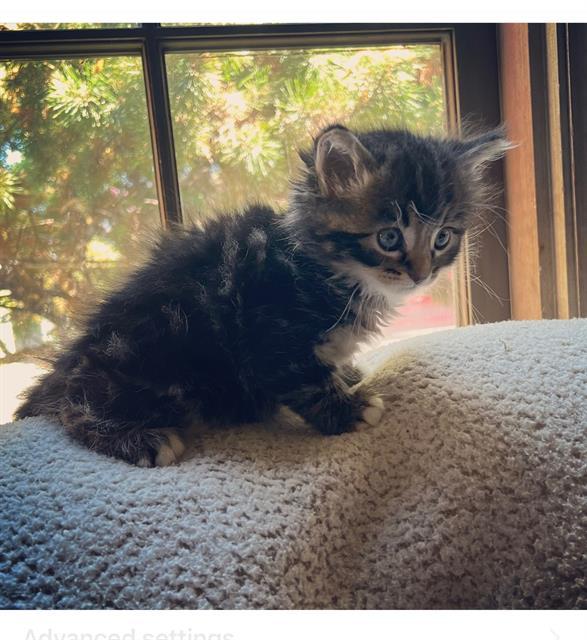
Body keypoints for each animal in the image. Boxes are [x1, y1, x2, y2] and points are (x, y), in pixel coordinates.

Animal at [16, 124, 508, 464]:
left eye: (442, 238)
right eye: (389, 237)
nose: (421, 275)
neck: (324, 271)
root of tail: (70, 361)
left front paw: (346, 373)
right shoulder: (268, 332)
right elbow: (306, 382)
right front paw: (348, 411)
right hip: (148, 344)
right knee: (74, 408)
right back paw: (139, 437)